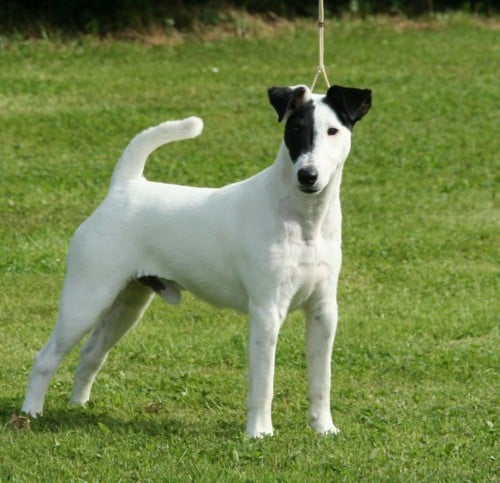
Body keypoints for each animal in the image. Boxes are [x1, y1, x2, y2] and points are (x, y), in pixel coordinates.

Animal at [20, 84, 372, 438]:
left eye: (332, 131)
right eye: (296, 130)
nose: (308, 175)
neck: (302, 221)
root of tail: (124, 188)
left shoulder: (323, 311)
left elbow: (321, 380)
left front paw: (324, 427)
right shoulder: (267, 311)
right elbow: (263, 383)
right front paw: (259, 432)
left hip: (127, 304)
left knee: (91, 353)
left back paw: (78, 405)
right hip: (86, 299)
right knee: (45, 357)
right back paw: (31, 412)